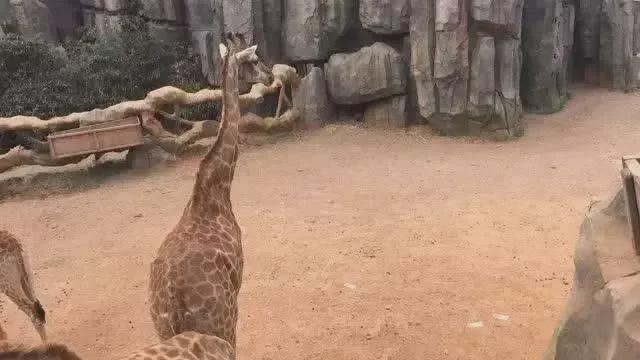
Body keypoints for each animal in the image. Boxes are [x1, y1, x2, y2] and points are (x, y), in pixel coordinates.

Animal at [148, 33, 270, 346]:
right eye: (254, 59)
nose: (270, 76)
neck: (216, 187)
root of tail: (171, 302)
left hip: (161, 329)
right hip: (222, 324)